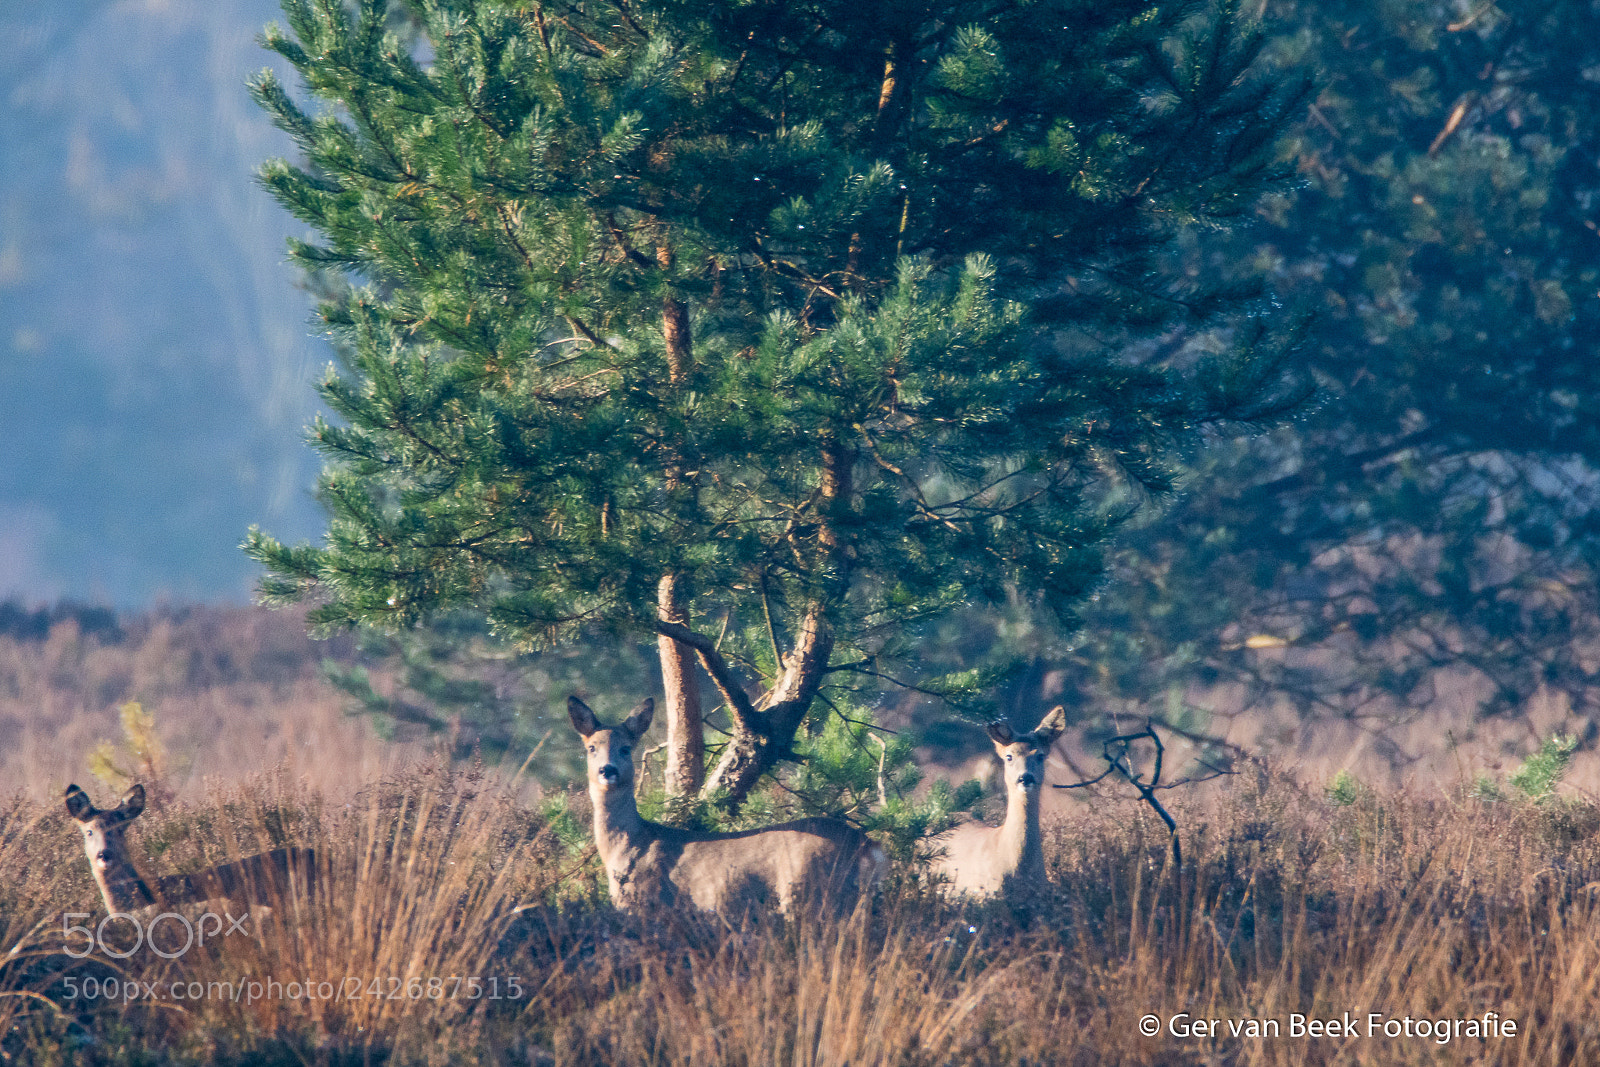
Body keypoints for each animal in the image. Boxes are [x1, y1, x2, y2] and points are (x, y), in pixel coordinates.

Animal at [567, 695, 885, 914]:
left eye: (625, 748)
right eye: (591, 748)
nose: (607, 770)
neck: (629, 845)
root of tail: (867, 845)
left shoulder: (645, 903)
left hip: (809, 893)